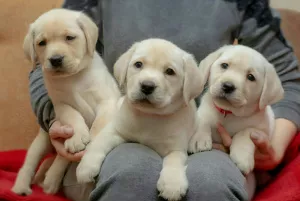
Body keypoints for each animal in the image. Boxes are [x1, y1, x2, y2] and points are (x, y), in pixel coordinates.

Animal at [12, 8, 119, 196]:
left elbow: (97, 127)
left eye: (70, 38)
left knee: (60, 158)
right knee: (30, 164)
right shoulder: (61, 105)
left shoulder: (107, 101)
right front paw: (78, 137)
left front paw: (88, 145)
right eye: (42, 43)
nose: (55, 59)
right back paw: (22, 187)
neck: (73, 77)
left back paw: (51, 179)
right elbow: (73, 116)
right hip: (42, 142)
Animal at [76, 38, 205, 200]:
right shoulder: (116, 130)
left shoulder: (176, 148)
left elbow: (174, 161)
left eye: (170, 71)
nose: (147, 86)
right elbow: (98, 143)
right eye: (138, 64)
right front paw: (86, 167)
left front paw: (172, 184)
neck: (148, 116)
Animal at [189, 44, 284, 175]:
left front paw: (242, 156)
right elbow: (202, 120)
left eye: (250, 77)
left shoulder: (262, 130)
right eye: (224, 65)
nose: (228, 86)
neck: (229, 113)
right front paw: (199, 139)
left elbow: (245, 132)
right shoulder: (204, 110)